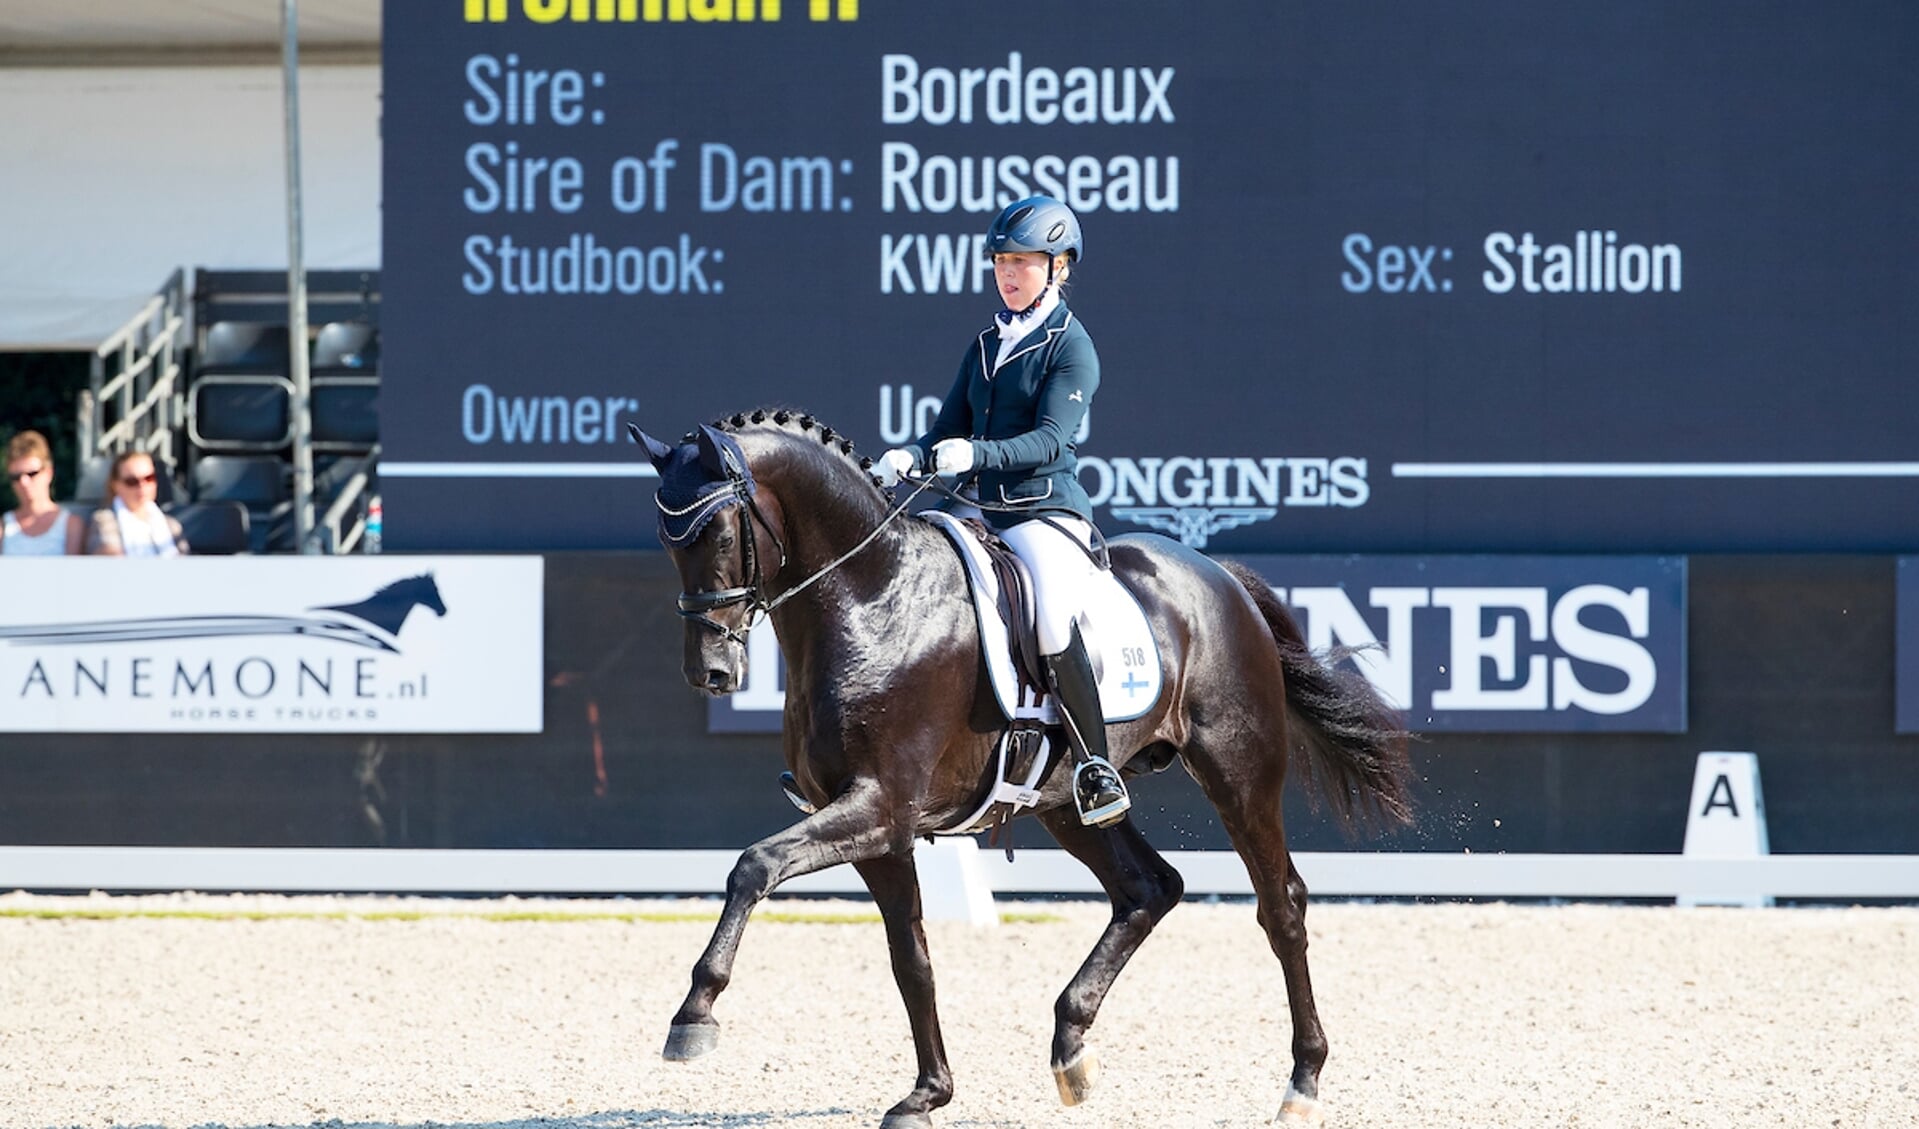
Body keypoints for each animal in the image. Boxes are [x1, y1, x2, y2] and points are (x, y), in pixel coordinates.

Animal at [629, 414, 1412, 1129]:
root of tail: (1218, 576)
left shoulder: (880, 806)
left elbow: (753, 866)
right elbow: (910, 957)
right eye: (668, 541)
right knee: (1149, 888)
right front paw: (928, 1093)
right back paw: (1071, 1047)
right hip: (1069, 801)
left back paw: (1302, 1083)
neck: (872, 598)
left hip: (1238, 772)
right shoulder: (880, 830)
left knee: (1281, 905)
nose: (712, 672)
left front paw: (694, 1014)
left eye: (719, 533)